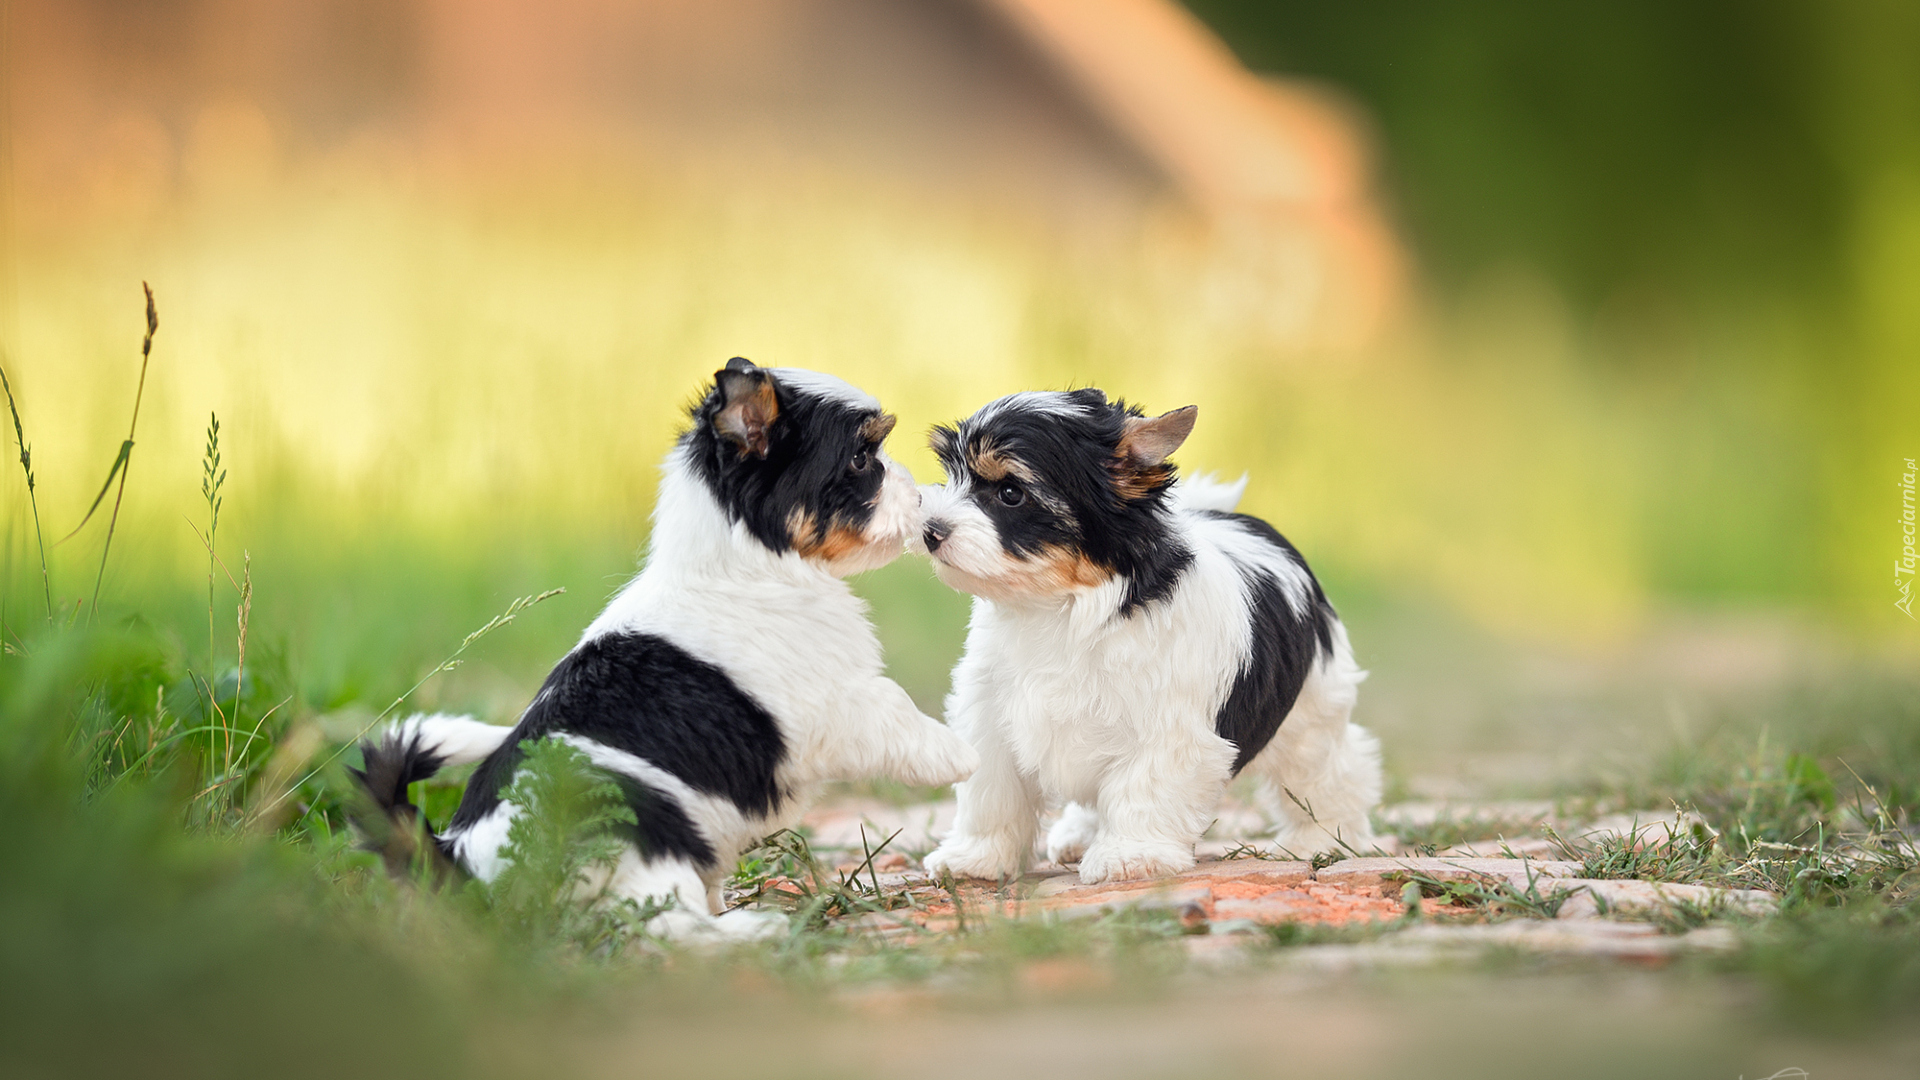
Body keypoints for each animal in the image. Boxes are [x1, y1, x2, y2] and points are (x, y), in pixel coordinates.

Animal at [351, 357, 975, 930]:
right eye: (861, 459)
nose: (922, 499)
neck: (744, 565)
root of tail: (458, 864)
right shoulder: (834, 699)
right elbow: (896, 710)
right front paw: (960, 755)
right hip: (643, 830)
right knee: (668, 928)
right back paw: (750, 932)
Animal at [917, 388, 1382, 883]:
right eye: (952, 476)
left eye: (1010, 492)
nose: (929, 530)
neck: (1065, 605)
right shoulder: (992, 711)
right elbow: (993, 790)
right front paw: (977, 856)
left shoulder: (1167, 722)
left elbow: (1145, 784)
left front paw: (1129, 855)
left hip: (1311, 707)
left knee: (1326, 769)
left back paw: (1323, 837)